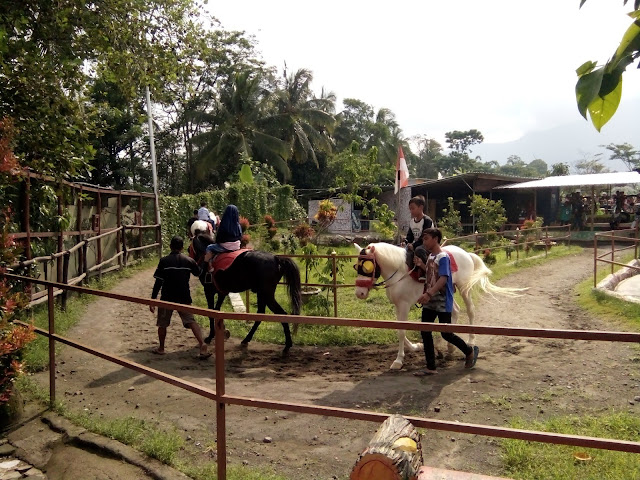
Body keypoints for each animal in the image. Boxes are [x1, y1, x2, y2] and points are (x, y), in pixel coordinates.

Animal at [352, 242, 524, 370]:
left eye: (367, 266)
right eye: (356, 266)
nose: (359, 293)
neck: (399, 271)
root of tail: (466, 253)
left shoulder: (404, 305)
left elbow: (401, 331)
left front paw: (399, 360)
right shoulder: (397, 305)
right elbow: (398, 329)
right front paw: (415, 346)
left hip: (464, 288)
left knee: (470, 311)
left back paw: (471, 340)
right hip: (448, 290)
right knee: (455, 311)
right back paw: (449, 347)